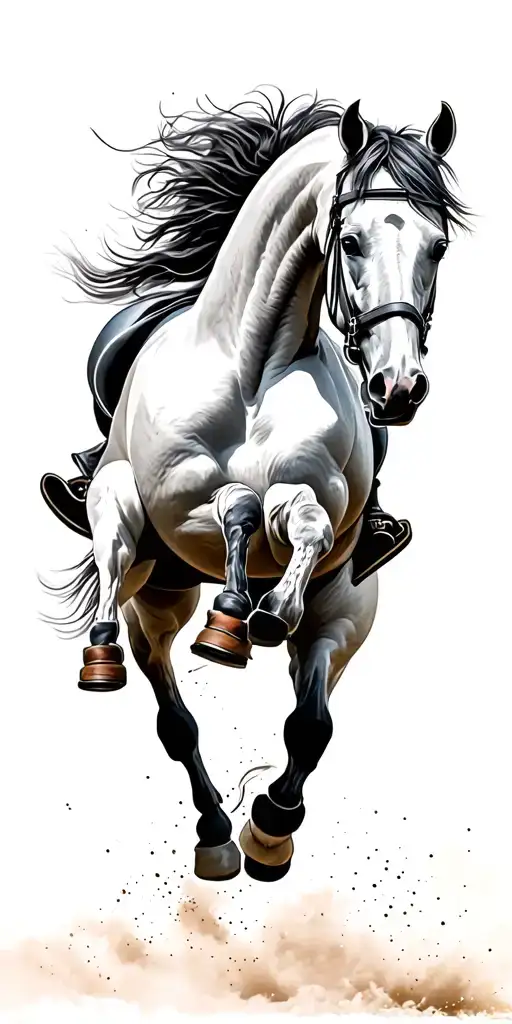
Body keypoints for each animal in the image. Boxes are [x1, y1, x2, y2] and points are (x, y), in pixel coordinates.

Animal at [43, 91, 469, 883]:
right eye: (351, 240)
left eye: (438, 246)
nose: (397, 387)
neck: (253, 360)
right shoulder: (174, 507)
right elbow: (230, 503)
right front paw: (237, 610)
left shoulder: (333, 554)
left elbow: (302, 528)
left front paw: (272, 826)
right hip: (153, 582)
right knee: (165, 697)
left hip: (331, 607)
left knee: (294, 712)